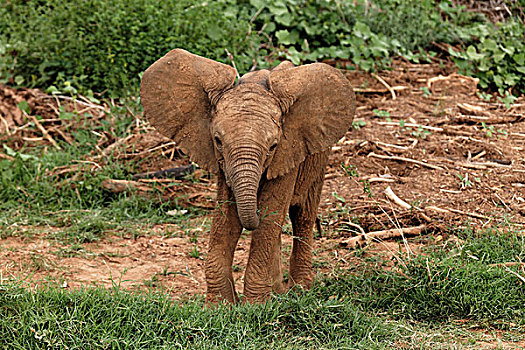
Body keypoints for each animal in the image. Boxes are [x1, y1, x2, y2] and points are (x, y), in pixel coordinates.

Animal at [139, 49, 354, 304]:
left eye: (273, 146)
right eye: (217, 141)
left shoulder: (287, 153)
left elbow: (270, 215)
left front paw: (255, 306)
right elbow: (227, 219)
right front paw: (221, 306)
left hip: (318, 158)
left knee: (302, 215)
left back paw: (299, 290)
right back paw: (279, 292)